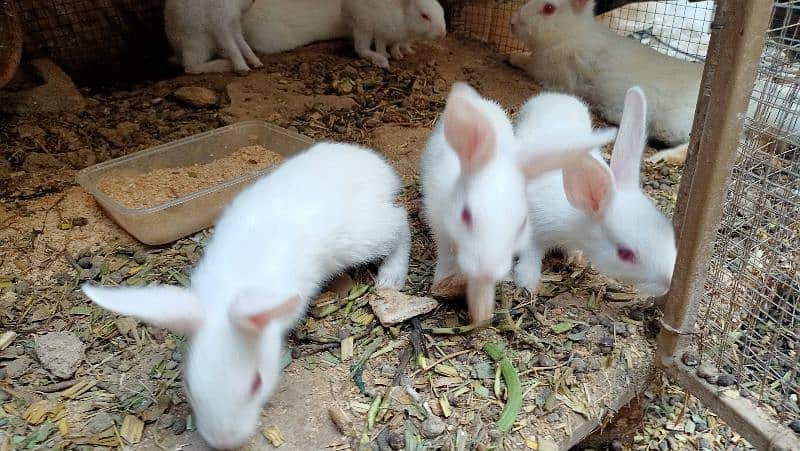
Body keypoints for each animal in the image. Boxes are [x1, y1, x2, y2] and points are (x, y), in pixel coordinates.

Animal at [80, 143, 410, 450]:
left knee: (401, 222)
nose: (224, 441)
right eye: (189, 385)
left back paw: (390, 278)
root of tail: (374, 164)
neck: (225, 295)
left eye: (257, 383)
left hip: (363, 237)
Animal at [422, 81, 616, 326]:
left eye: (521, 224)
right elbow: (446, 257)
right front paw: (442, 283)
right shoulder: (441, 228)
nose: (488, 269)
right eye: (466, 215)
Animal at [516, 87, 680, 300]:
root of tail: (555, 95)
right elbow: (530, 256)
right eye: (625, 253)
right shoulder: (533, 232)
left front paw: (573, 258)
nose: (668, 280)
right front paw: (527, 283)